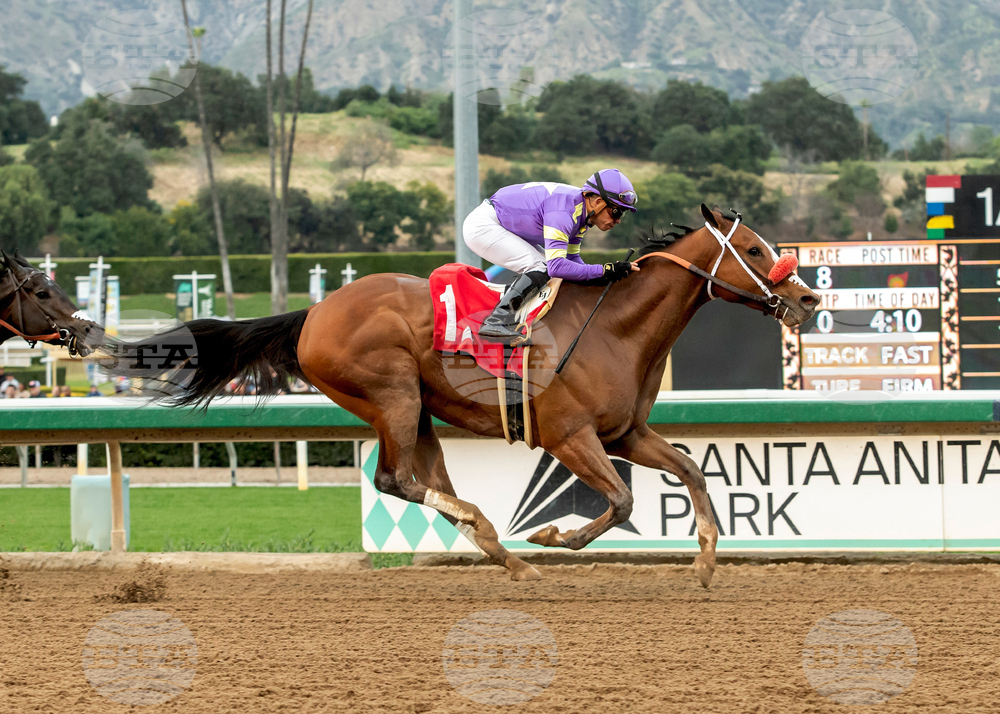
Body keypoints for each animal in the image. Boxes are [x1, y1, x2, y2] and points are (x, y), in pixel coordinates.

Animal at [105, 205, 819, 586]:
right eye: (754, 248)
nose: (809, 297)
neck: (614, 325)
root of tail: (314, 312)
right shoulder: (570, 436)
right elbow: (619, 502)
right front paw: (554, 535)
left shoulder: (625, 434)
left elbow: (692, 471)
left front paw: (706, 562)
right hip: (390, 396)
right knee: (395, 480)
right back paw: (495, 535)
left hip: (418, 409)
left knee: (426, 480)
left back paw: (501, 552)